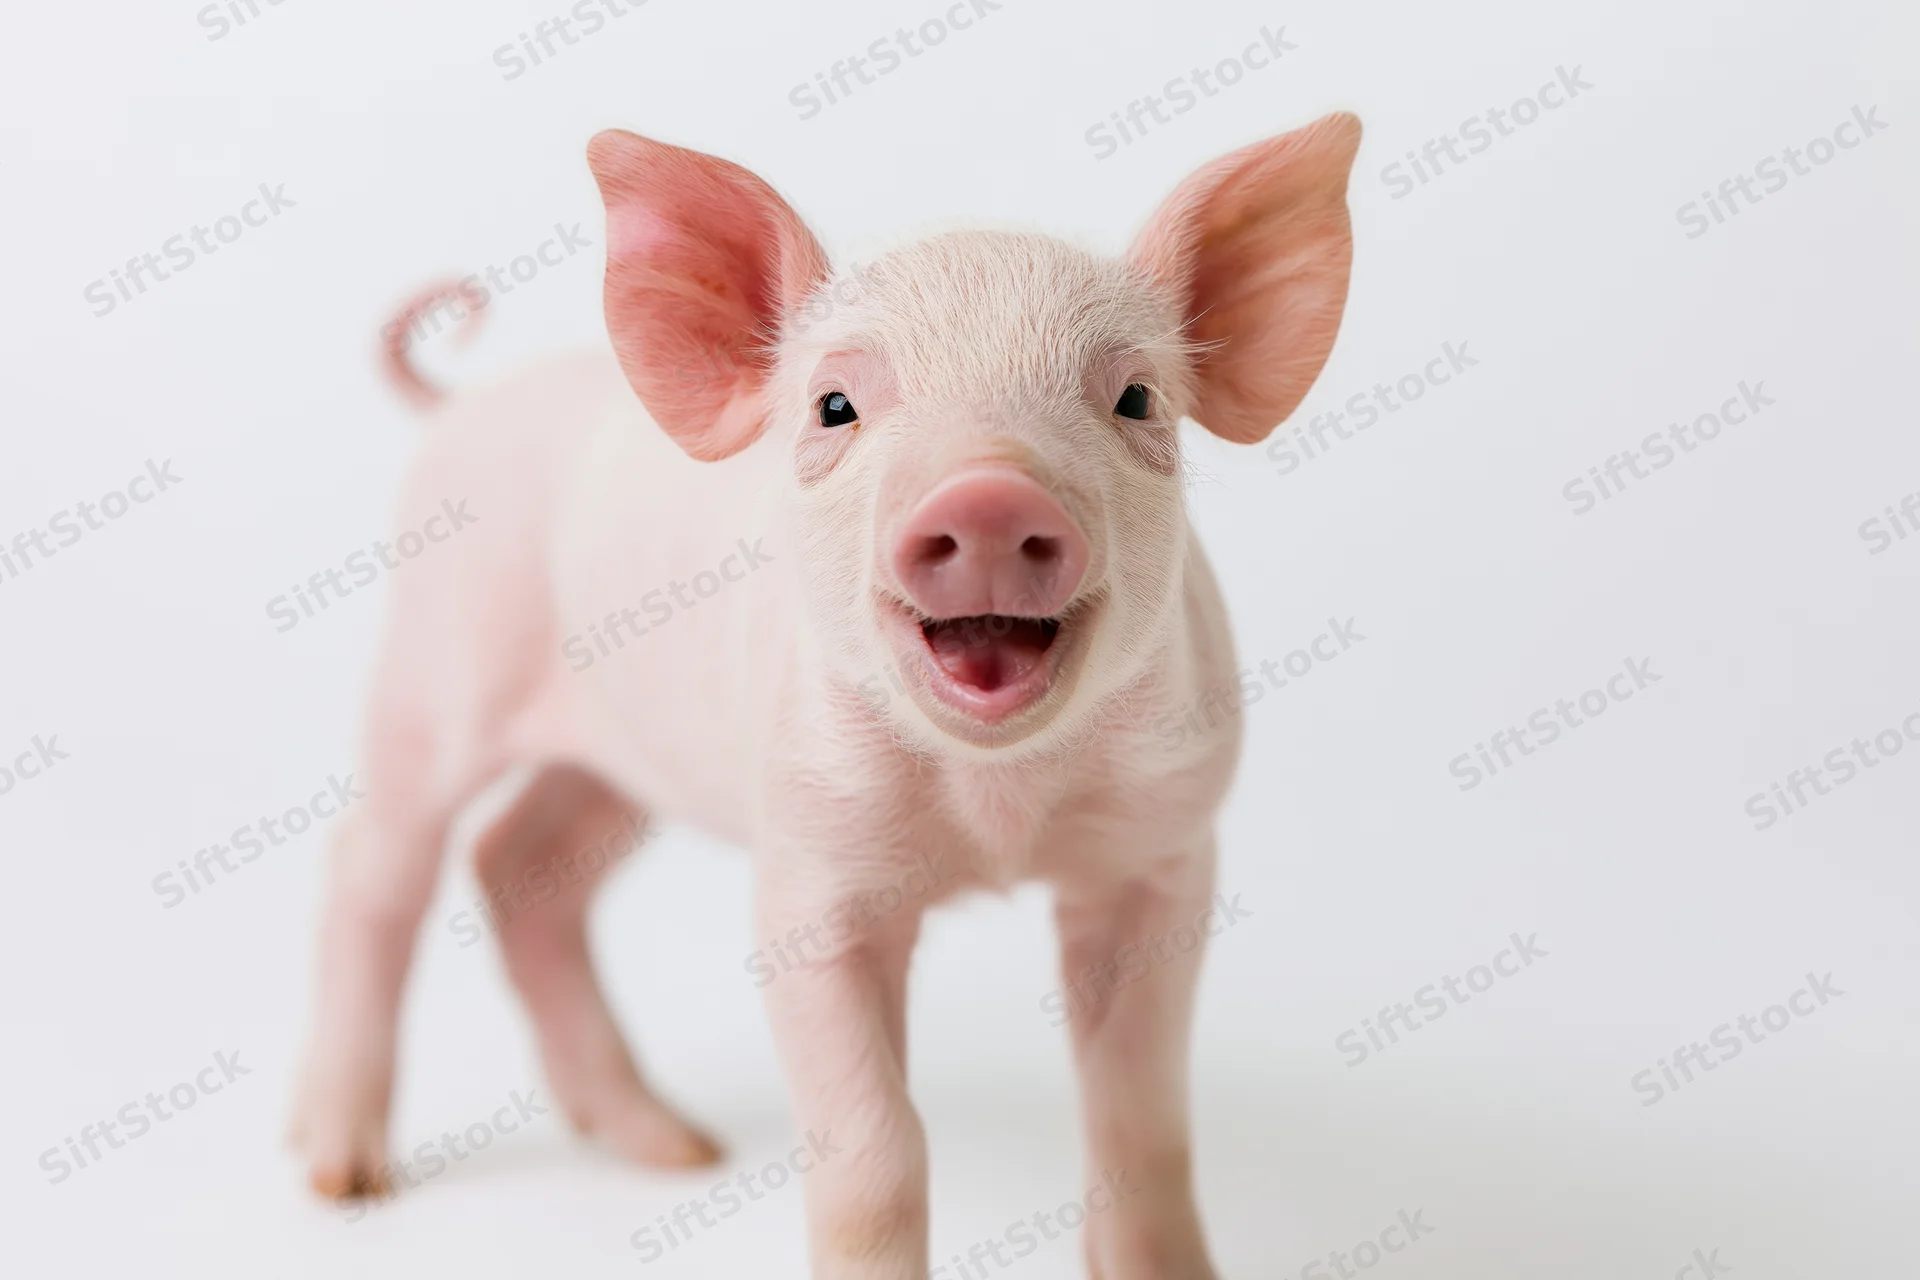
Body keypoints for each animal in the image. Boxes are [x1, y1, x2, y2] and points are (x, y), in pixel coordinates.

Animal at [292, 111, 1361, 1278]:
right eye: (835, 405)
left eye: (1135, 398)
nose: (989, 495)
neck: (998, 816)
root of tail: (466, 402)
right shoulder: (809, 872)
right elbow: (877, 1151)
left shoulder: (1163, 854)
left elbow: (1144, 1128)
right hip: (433, 668)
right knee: (373, 866)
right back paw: (343, 1177)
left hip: (622, 753)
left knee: (522, 866)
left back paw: (673, 1148)